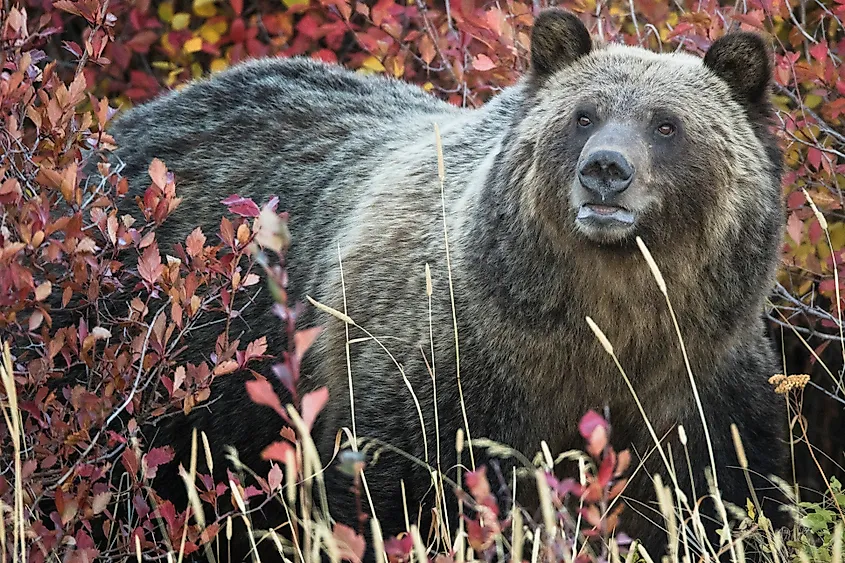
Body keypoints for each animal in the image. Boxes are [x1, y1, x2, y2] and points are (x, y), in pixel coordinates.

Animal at [108, 8, 790, 561]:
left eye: (666, 124)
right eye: (583, 115)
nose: (605, 169)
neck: (608, 319)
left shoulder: (702, 384)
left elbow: (725, 498)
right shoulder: (448, 375)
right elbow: (391, 499)